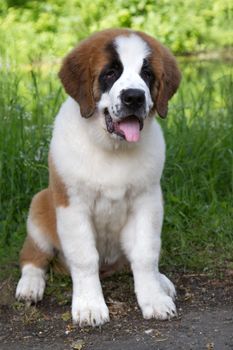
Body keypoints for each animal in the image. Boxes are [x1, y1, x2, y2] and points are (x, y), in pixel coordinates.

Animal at [15, 28, 180, 326]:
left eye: (147, 74)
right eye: (110, 73)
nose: (134, 97)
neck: (111, 148)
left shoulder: (148, 203)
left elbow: (145, 255)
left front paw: (154, 299)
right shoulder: (73, 207)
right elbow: (84, 258)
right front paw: (90, 306)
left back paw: (162, 281)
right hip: (40, 206)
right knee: (33, 256)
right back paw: (30, 285)